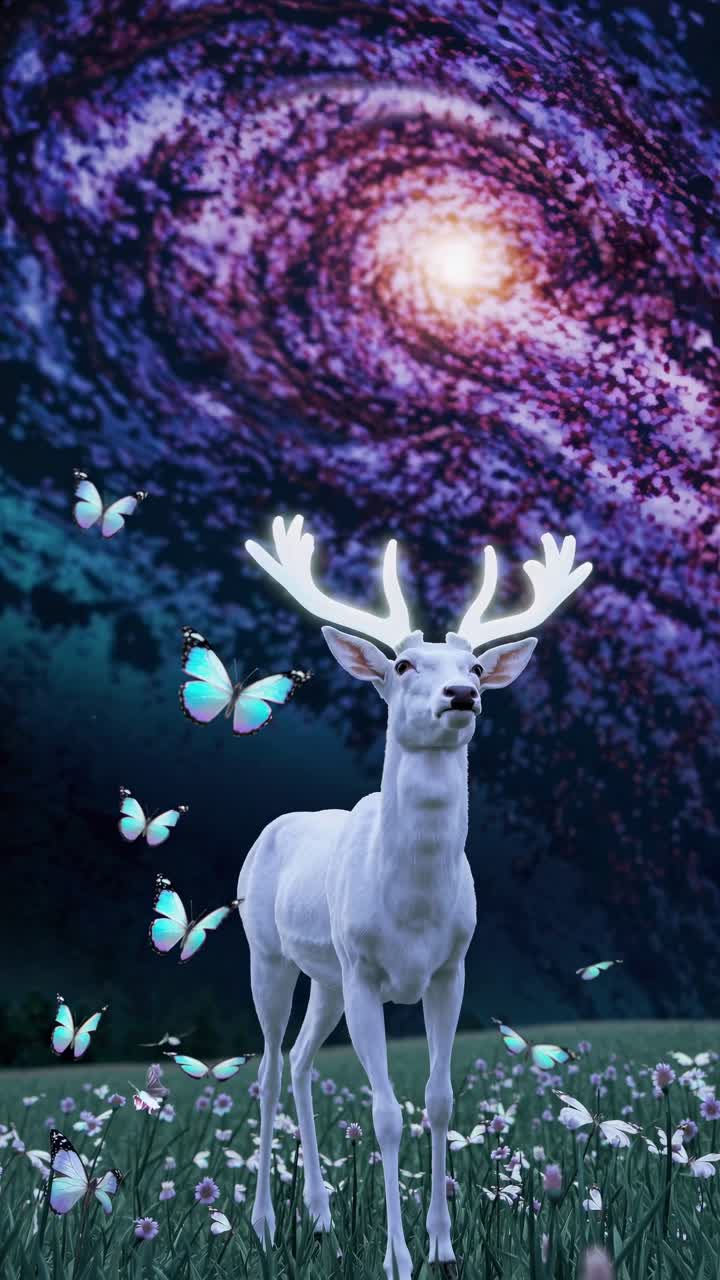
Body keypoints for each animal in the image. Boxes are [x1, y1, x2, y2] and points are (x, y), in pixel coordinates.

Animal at [238, 515, 592, 1279]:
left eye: (476, 667)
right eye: (402, 666)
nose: (461, 695)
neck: (413, 908)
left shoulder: (450, 969)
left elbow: (438, 1101)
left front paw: (443, 1246)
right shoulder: (367, 974)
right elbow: (385, 1113)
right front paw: (397, 1258)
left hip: (327, 978)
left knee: (304, 1062)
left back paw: (320, 1218)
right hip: (270, 956)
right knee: (272, 1067)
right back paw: (266, 1224)